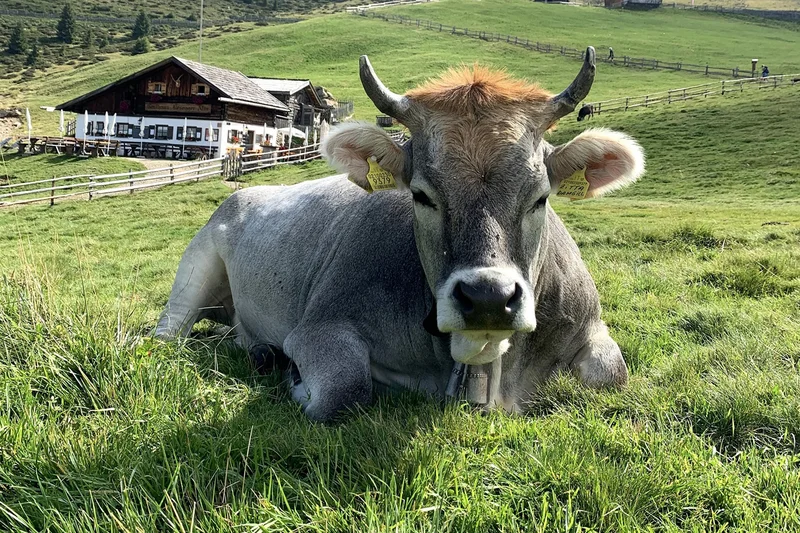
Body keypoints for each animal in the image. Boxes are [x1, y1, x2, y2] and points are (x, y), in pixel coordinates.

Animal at [155, 47, 645, 421]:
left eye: (540, 197)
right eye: (421, 195)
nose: (488, 298)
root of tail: (244, 192)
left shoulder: (590, 329)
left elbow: (613, 374)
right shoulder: (320, 327)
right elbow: (344, 391)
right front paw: (292, 376)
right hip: (194, 270)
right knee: (167, 336)